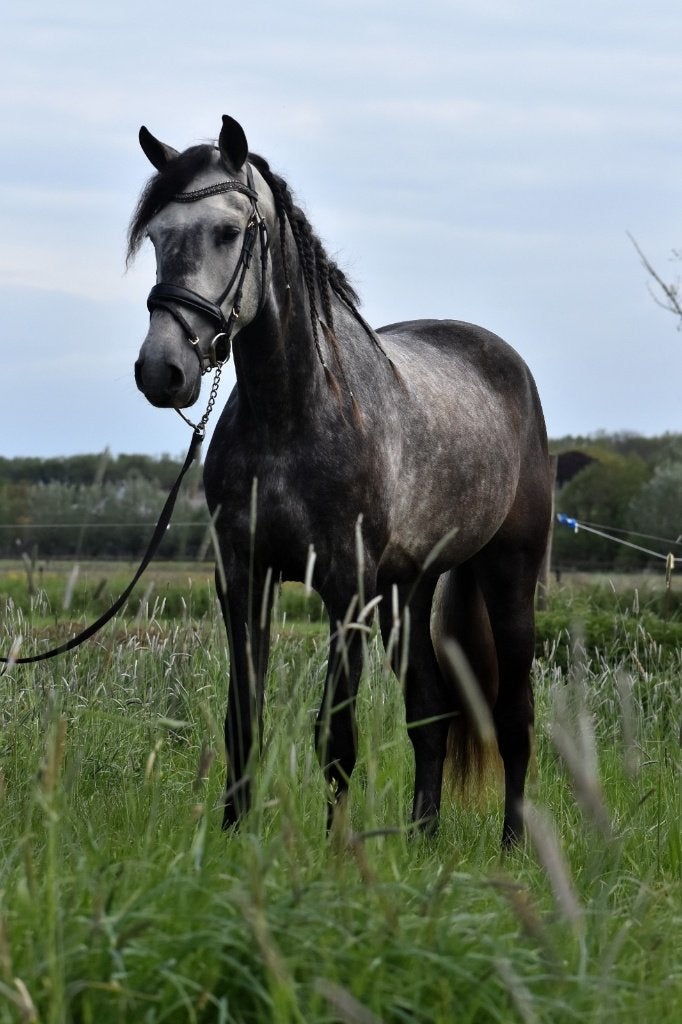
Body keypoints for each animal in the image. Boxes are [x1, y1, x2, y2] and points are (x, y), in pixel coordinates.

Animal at [131, 115, 552, 847]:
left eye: (228, 232)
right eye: (156, 236)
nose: (163, 370)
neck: (292, 412)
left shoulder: (344, 587)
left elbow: (337, 737)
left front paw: (335, 855)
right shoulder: (244, 579)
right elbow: (244, 720)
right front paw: (232, 838)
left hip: (508, 576)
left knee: (514, 717)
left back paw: (511, 849)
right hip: (409, 590)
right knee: (430, 713)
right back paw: (421, 840)